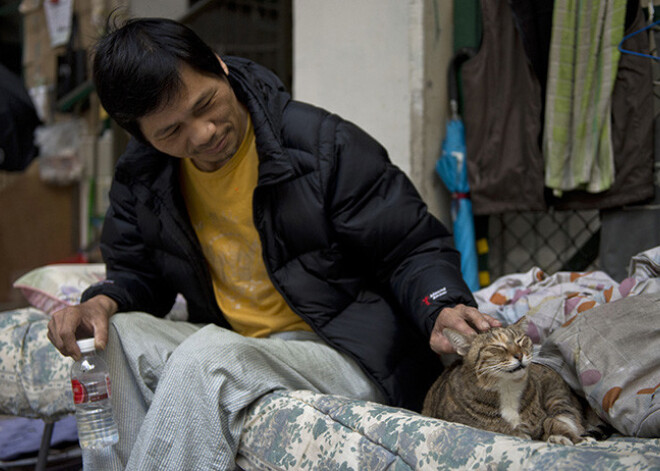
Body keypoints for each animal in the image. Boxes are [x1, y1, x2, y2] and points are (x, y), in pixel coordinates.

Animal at [422, 318, 604, 446]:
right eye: (497, 346)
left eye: (520, 340)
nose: (519, 355)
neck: (507, 388)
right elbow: (503, 430)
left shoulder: (546, 414)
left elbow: (552, 422)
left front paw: (574, 439)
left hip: (557, 396)